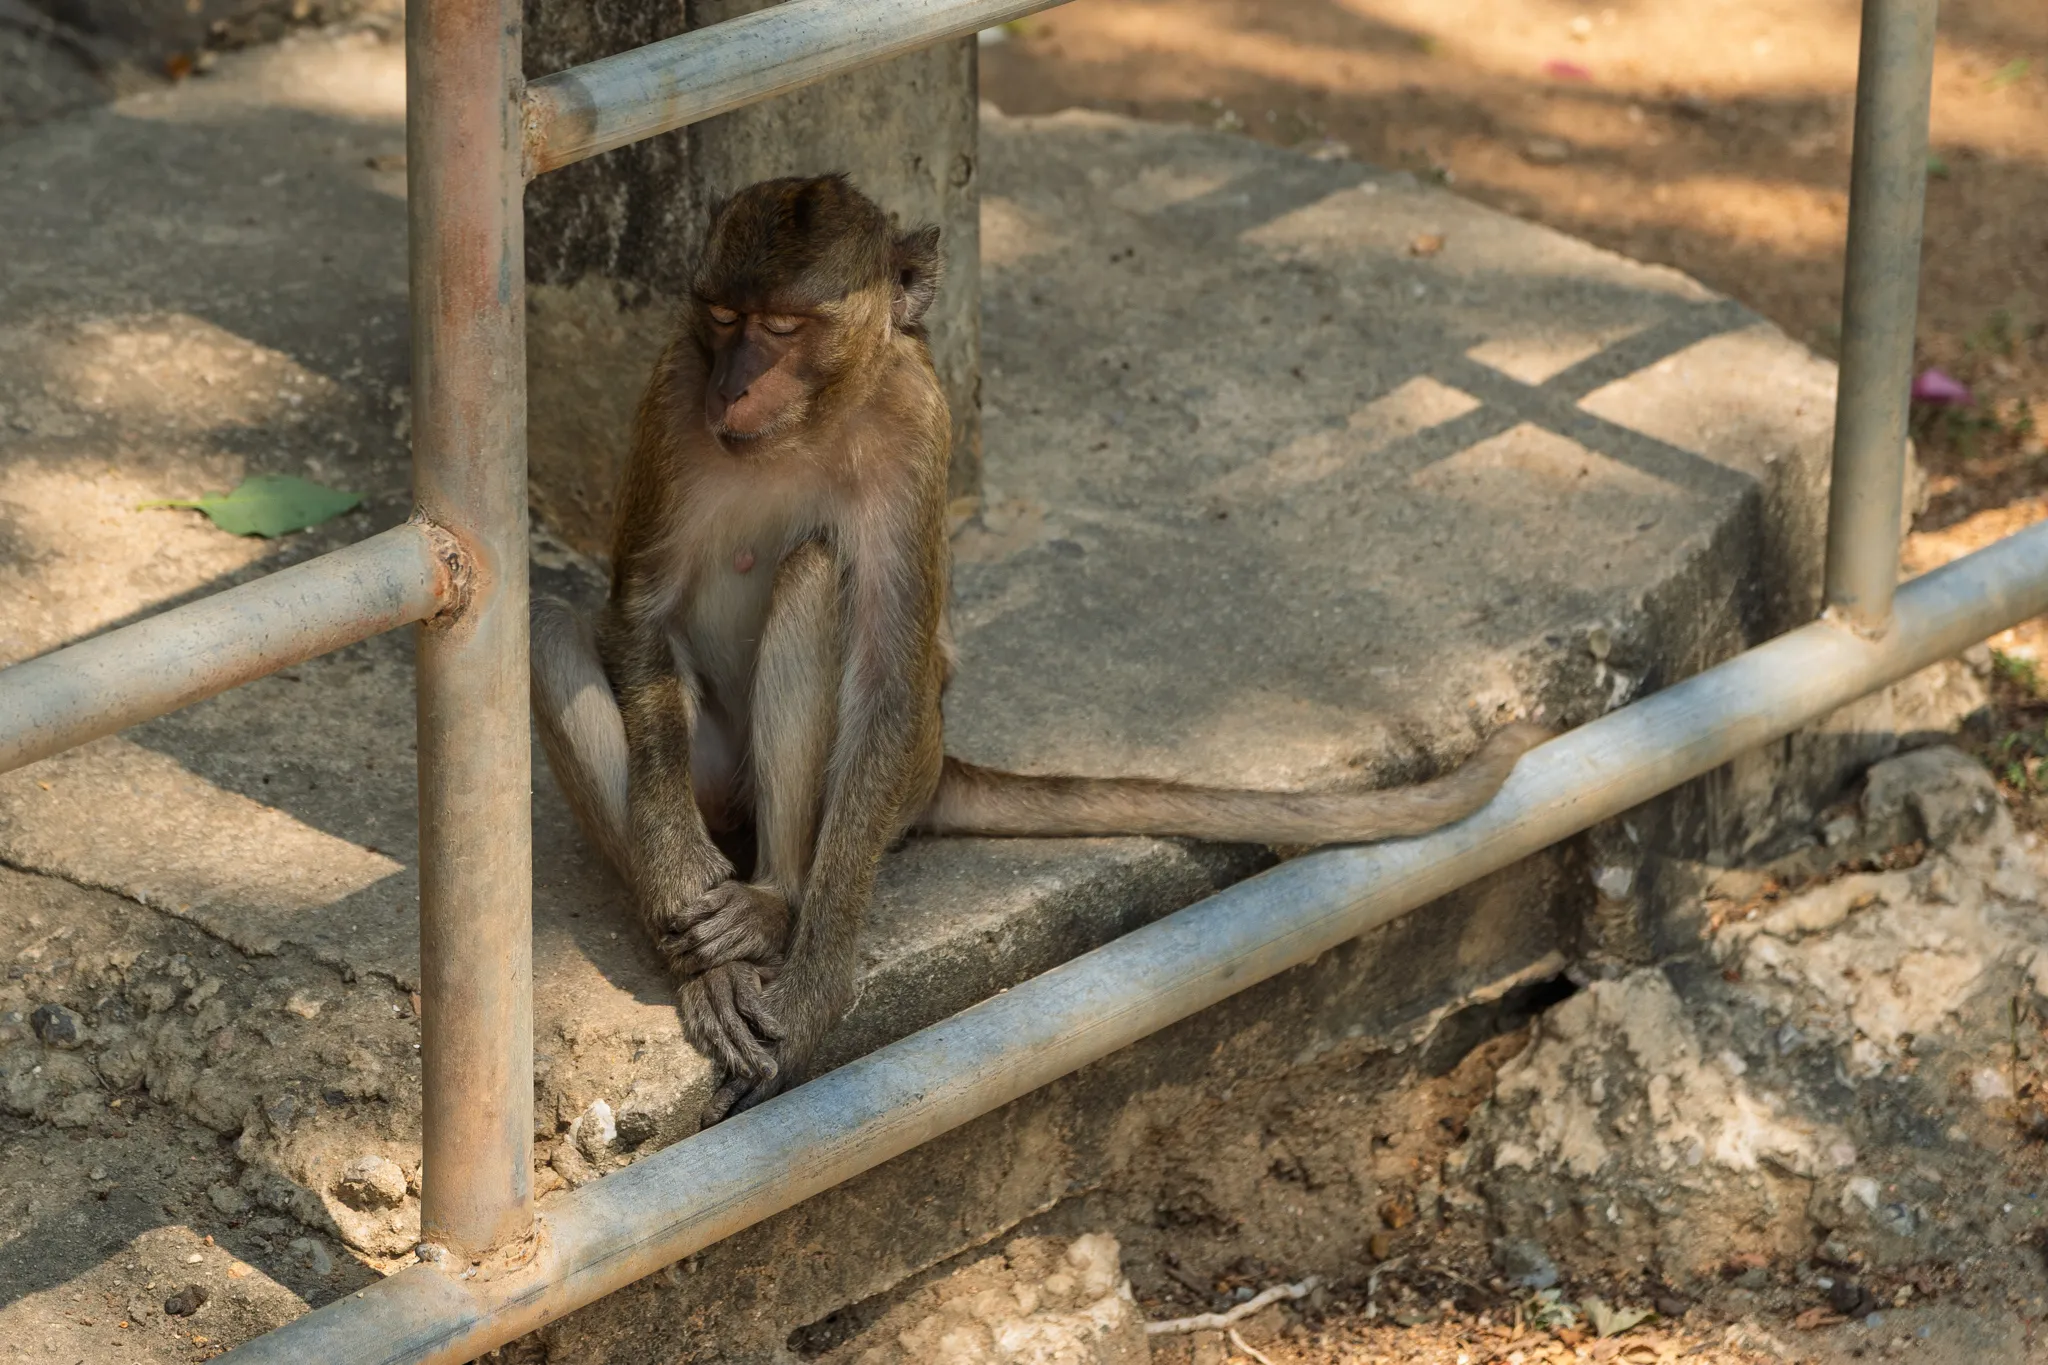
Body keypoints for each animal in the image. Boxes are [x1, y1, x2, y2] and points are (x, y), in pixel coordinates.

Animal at [530, 174, 1549, 1122]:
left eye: (783, 325)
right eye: (722, 316)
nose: (734, 384)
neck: (805, 425)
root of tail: (937, 768)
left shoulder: (919, 420)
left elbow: (890, 679)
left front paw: (814, 997)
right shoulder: (673, 388)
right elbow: (638, 613)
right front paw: (675, 870)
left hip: (892, 771)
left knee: (819, 577)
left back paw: (776, 902)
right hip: (714, 778)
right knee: (550, 634)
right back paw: (707, 968)